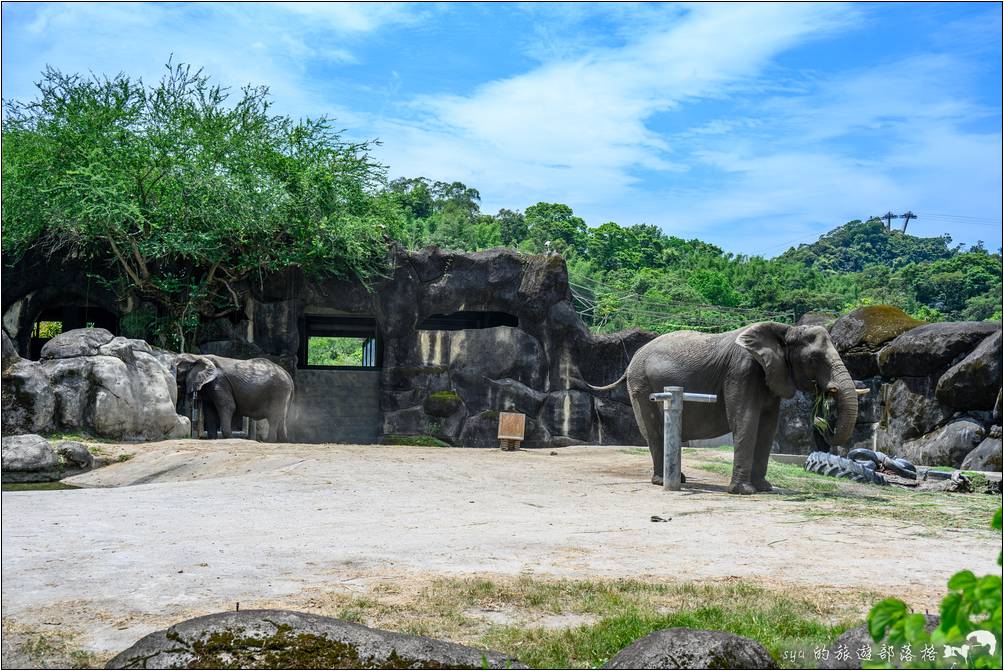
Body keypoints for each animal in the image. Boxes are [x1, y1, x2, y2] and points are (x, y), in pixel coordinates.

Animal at [590, 321, 859, 496]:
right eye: (813, 359)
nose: (824, 415)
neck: (784, 329)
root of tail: (631, 360)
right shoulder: (741, 371)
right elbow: (745, 421)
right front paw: (744, 492)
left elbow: (768, 426)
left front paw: (765, 488)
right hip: (641, 384)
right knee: (654, 431)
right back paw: (663, 481)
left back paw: (679, 479)